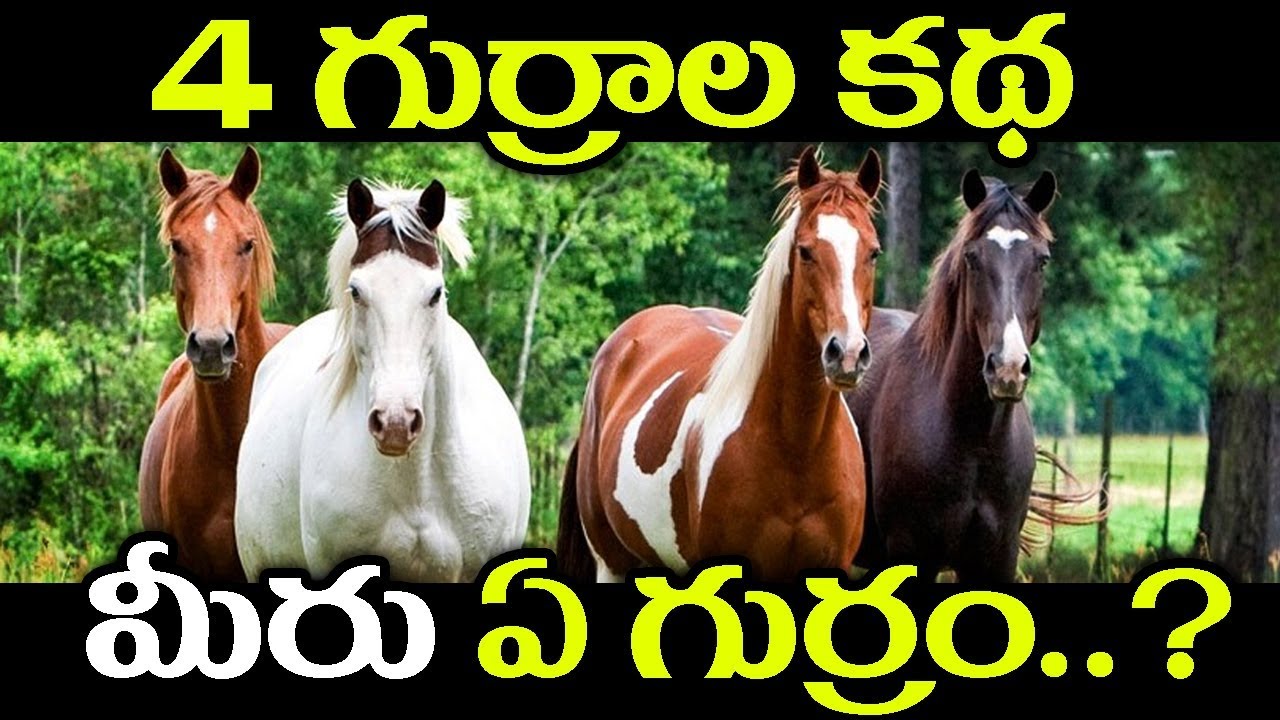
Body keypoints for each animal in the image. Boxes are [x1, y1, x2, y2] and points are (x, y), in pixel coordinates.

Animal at [845, 168, 1090, 584]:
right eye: (972, 258)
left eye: (1042, 260)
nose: (1007, 368)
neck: (973, 438)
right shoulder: (913, 554)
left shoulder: (997, 558)